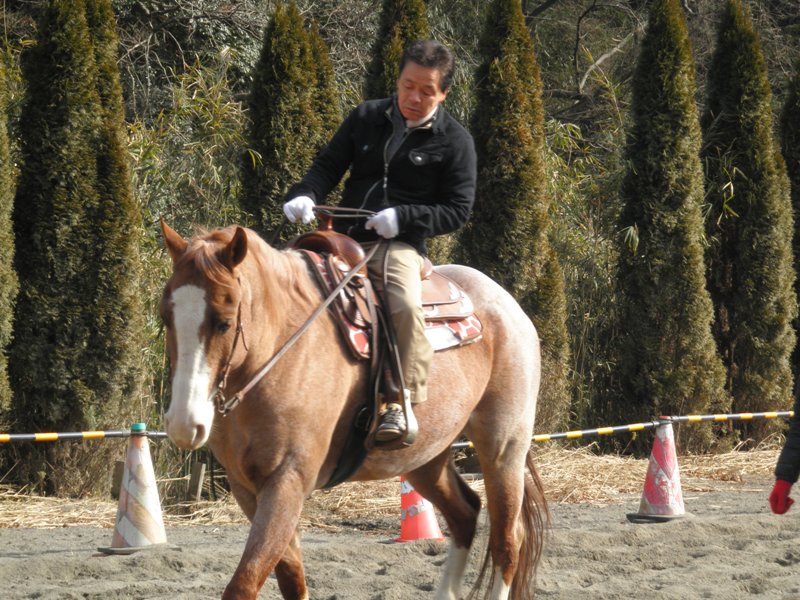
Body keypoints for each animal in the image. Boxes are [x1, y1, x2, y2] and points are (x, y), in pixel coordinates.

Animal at [159, 219, 548, 600]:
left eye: (224, 321)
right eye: (166, 317)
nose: (183, 424)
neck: (282, 350)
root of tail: (505, 303)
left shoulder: (286, 482)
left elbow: (244, 584)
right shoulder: (246, 488)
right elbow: (291, 578)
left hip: (503, 449)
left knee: (506, 542)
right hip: (425, 459)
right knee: (465, 514)